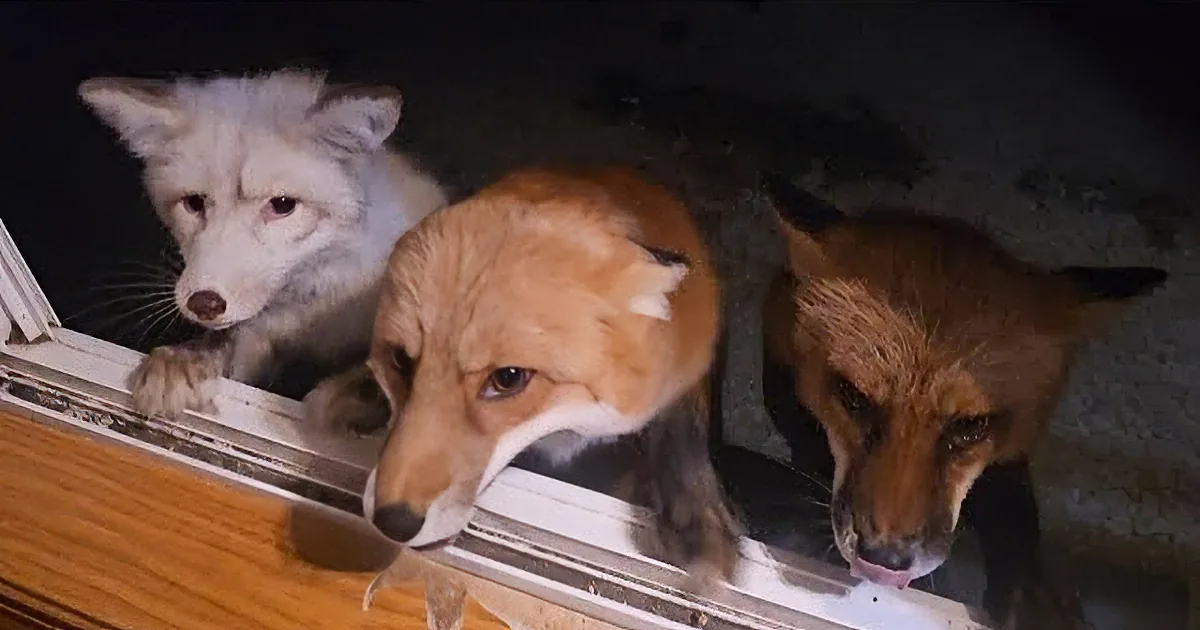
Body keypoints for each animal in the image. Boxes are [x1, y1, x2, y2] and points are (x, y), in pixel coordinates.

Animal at [77, 69, 447, 426]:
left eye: (282, 205)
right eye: (194, 203)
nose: (204, 303)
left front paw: (364, 392)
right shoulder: (258, 340)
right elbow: (225, 344)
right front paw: (182, 359)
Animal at [337, 166, 741, 581]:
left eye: (509, 378)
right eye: (401, 361)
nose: (393, 522)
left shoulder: (685, 367)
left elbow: (683, 433)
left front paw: (695, 513)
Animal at [757, 172, 1167, 629]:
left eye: (970, 426)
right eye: (854, 399)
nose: (884, 559)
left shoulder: (1010, 455)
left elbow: (1017, 515)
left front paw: (1029, 596)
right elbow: (808, 451)